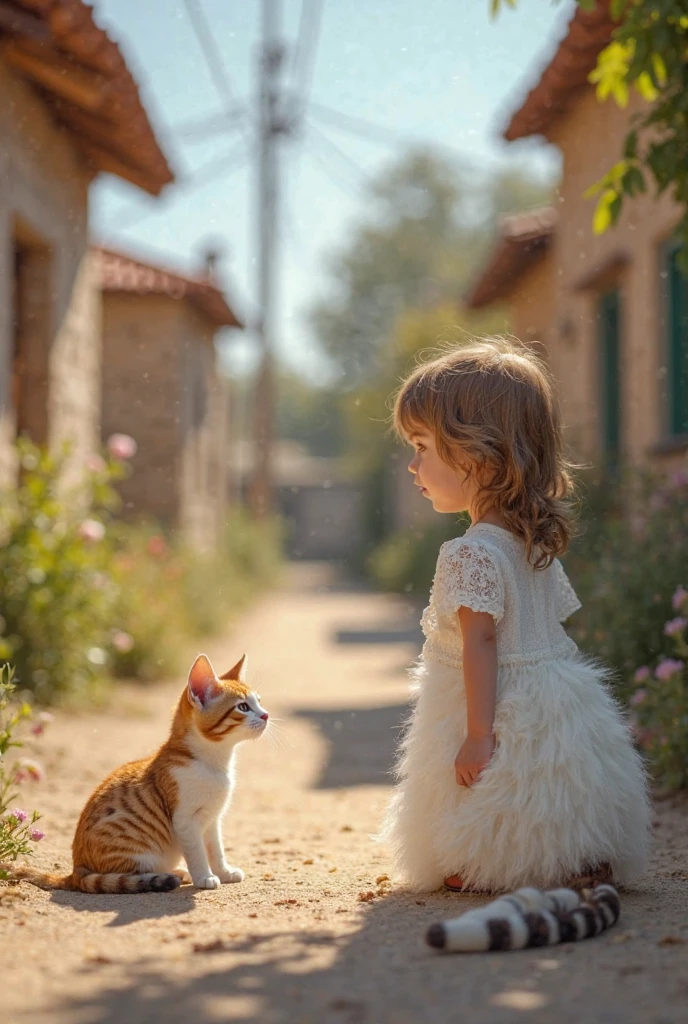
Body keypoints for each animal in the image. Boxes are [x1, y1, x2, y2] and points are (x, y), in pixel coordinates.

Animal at [2, 651, 266, 892]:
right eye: (243, 707)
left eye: (259, 702)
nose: (266, 714)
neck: (213, 762)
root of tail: (76, 871)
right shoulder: (186, 820)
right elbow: (197, 852)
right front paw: (204, 877)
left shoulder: (212, 819)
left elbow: (216, 849)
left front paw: (224, 872)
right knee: (127, 876)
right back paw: (171, 875)